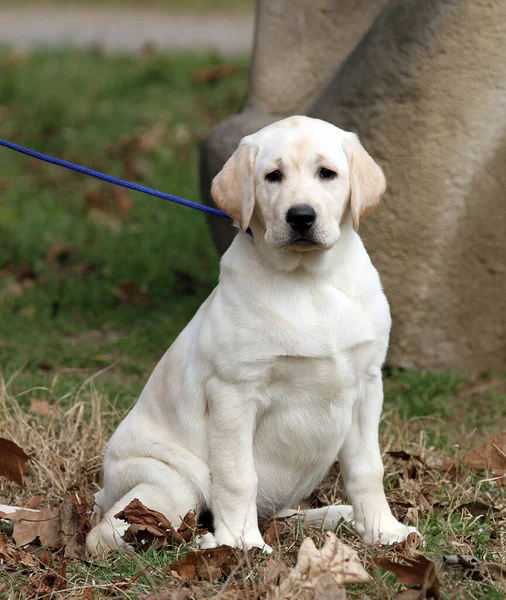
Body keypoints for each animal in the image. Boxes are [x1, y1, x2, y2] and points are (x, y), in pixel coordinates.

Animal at [87, 115, 418, 556]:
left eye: (327, 173)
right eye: (272, 176)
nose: (301, 216)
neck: (308, 280)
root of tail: (102, 491)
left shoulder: (366, 385)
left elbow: (368, 467)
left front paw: (383, 530)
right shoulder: (233, 394)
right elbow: (237, 476)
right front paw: (241, 544)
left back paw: (334, 514)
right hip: (170, 480)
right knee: (108, 534)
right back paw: (207, 541)